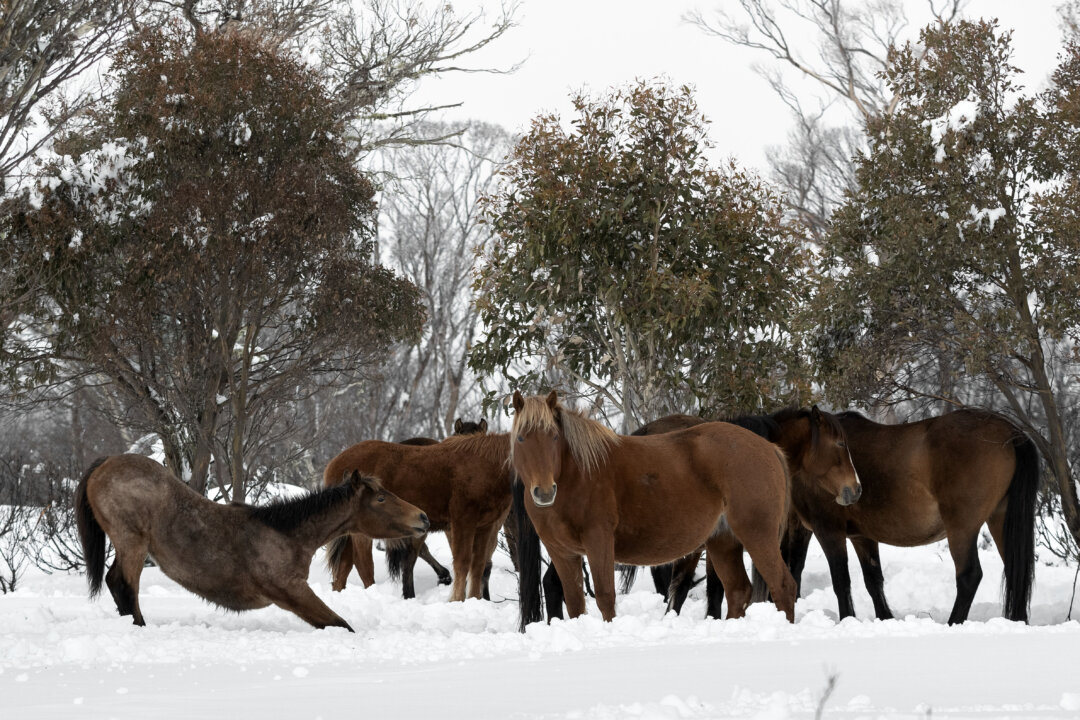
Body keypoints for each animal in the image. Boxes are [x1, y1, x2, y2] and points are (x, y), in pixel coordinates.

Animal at [75, 454, 429, 630]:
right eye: (381, 498)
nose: (423, 517)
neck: (286, 534)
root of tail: (105, 465)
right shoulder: (291, 591)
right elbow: (339, 624)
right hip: (132, 542)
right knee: (124, 585)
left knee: (116, 584)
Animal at [324, 432, 511, 602]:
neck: (486, 466)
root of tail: (334, 463)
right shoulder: (462, 522)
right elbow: (462, 562)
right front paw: (457, 599)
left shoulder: (486, 526)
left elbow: (478, 565)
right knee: (363, 565)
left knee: (343, 569)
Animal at [510, 390, 799, 627]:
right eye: (522, 438)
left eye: (554, 436)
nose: (544, 491)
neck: (578, 474)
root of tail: (770, 448)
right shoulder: (562, 552)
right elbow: (575, 603)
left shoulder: (598, 540)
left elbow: (605, 596)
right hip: (723, 542)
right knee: (738, 591)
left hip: (757, 534)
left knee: (783, 585)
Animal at [767, 409, 1038, 624]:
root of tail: (1011, 431)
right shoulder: (861, 536)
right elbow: (873, 580)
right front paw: (885, 618)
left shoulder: (827, 531)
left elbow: (838, 580)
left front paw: (847, 619)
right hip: (999, 521)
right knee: (1015, 570)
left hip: (961, 528)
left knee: (969, 576)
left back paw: (954, 623)